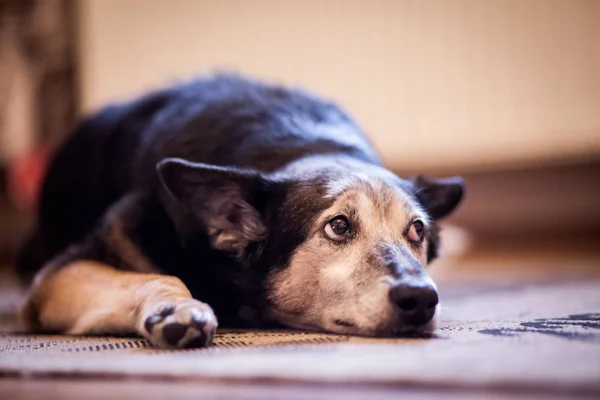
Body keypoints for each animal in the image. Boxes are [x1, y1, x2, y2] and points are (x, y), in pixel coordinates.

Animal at [15, 73, 464, 348]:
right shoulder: (58, 276)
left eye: (417, 231)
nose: (421, 299)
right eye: (338, 226)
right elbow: (161, 275)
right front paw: (175, 309)